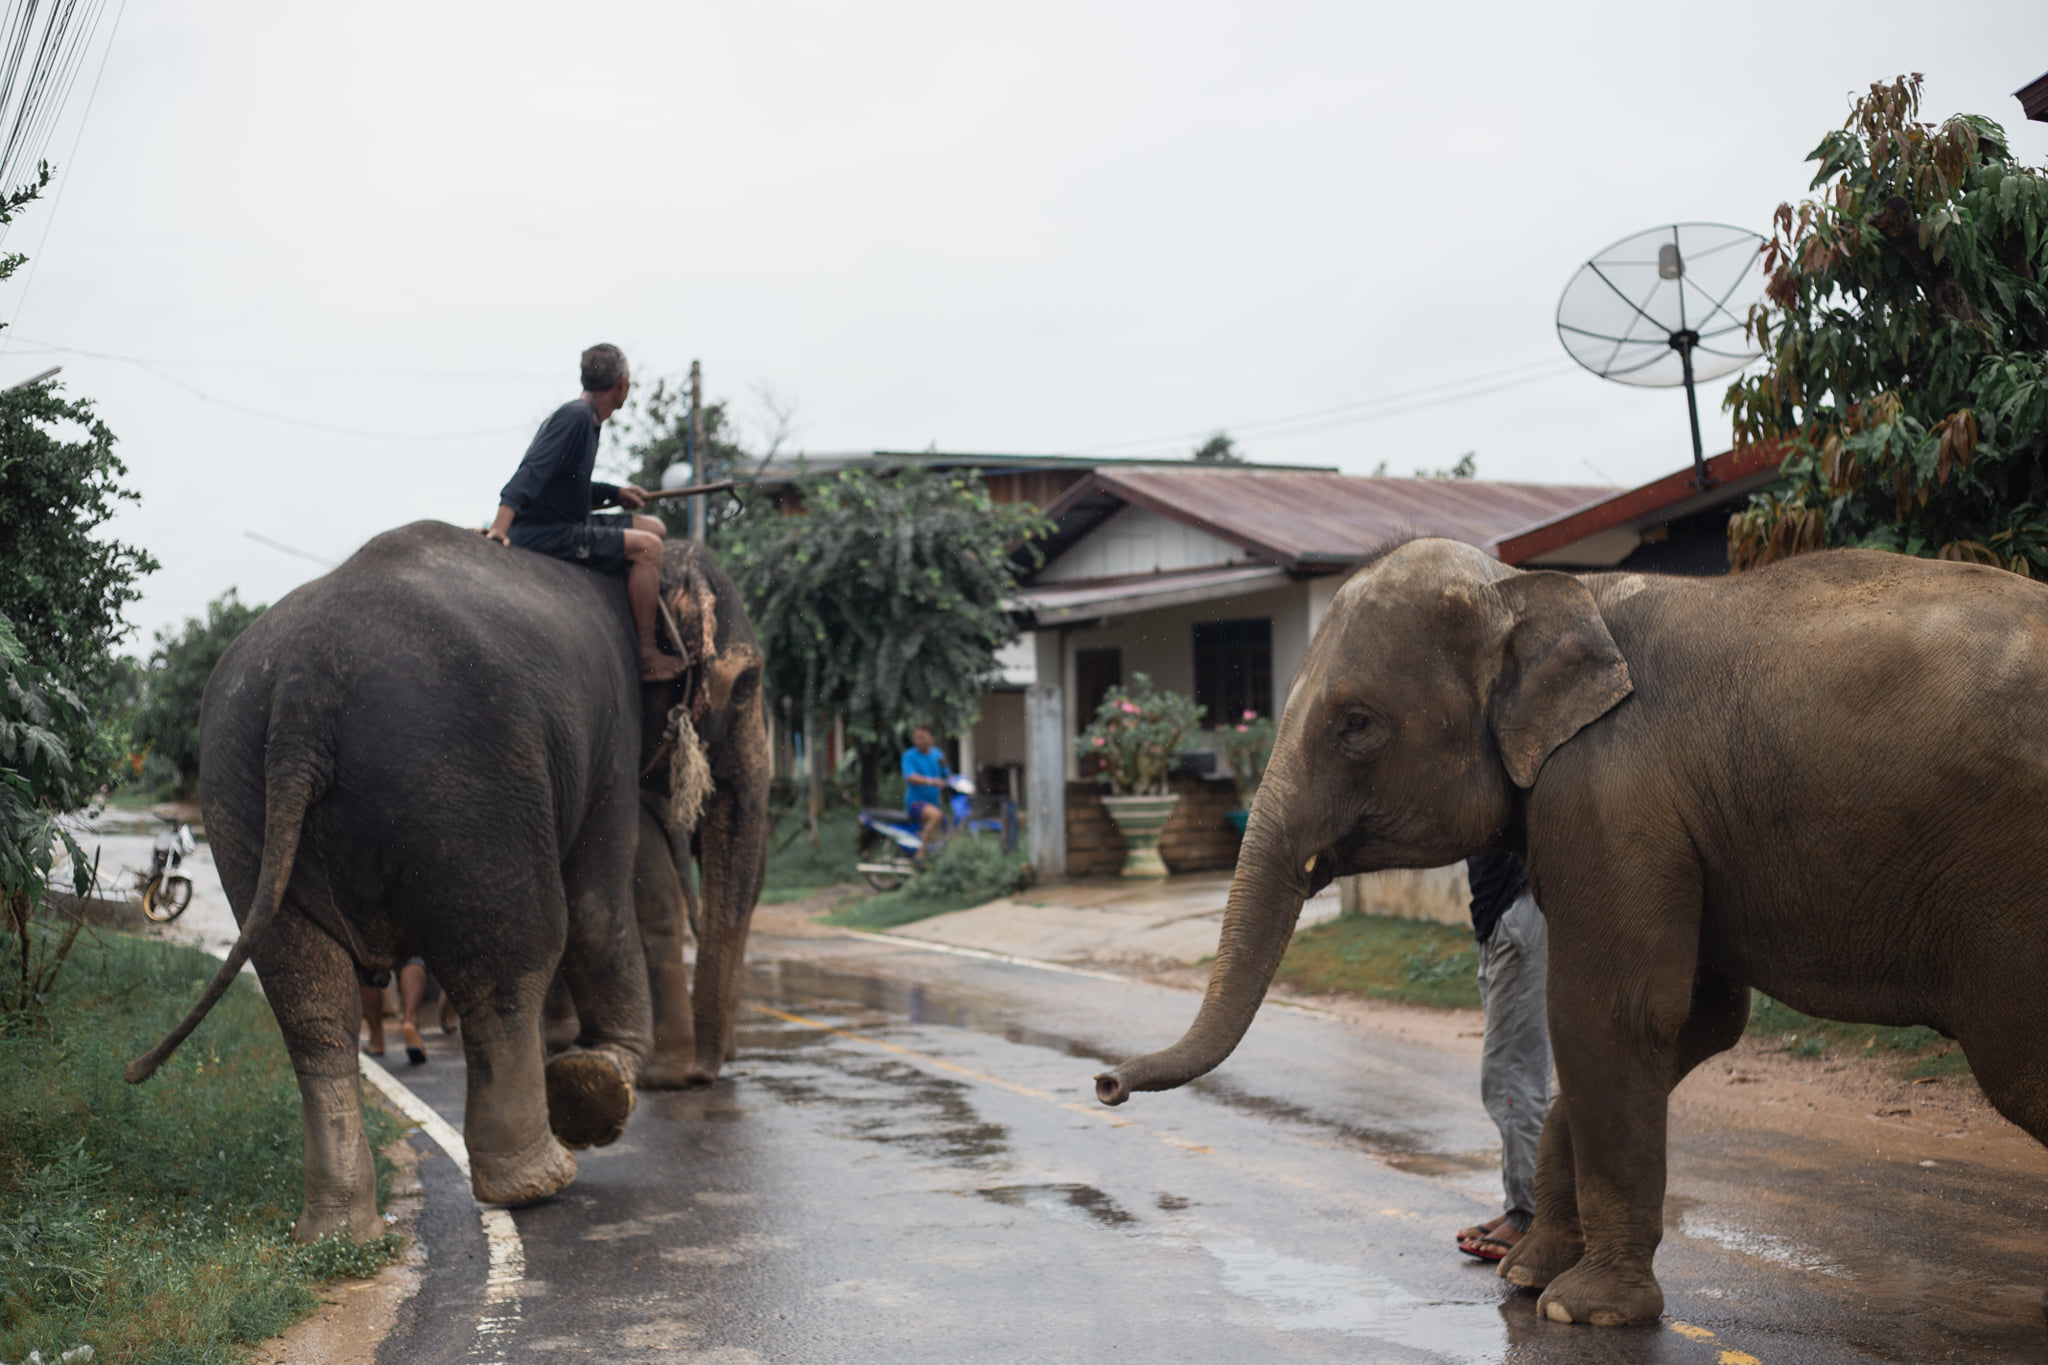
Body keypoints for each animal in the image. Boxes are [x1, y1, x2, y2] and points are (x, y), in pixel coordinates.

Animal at [1105, 540, 2048, 1326]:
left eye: (1356, 723)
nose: (1106, 1083)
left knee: (2019, 1064)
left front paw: (1582, 1309)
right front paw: (1526, 1273)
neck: (1538, 588)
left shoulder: (1609, 788)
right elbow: (1698, 1016)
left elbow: (1617, 1012)